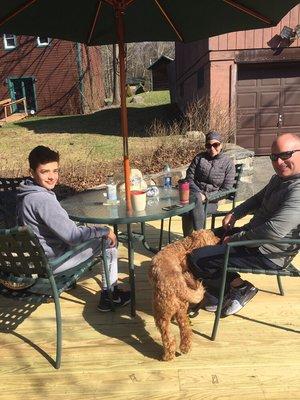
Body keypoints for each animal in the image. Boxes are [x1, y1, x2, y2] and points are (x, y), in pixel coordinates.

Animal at [149, 230, 219, 360]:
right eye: (212, 236)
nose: (219, 239)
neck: (183, 246)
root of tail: (177, 286)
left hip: (161, 315)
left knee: (168, 338)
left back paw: (168, 356)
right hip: (181, 310)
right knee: (186, 330)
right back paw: (185, 348)